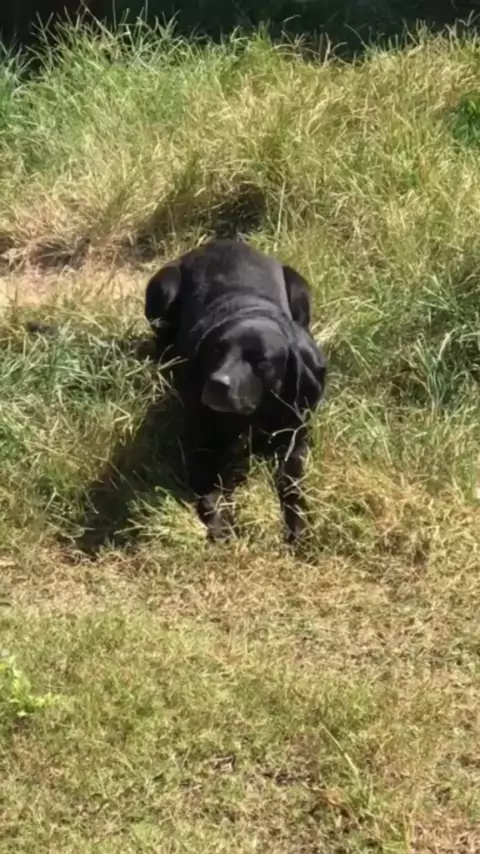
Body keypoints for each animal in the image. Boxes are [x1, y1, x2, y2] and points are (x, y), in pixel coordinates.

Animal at [145, 238, 327, 544]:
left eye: (261, 360)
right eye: (217, 351)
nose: (217, 383)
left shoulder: (295, 439)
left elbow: (292, 485)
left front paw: (297, 525)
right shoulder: (200, 445)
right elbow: (209, 495)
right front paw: (222, 525)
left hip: (299, 287)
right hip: (163, 287)